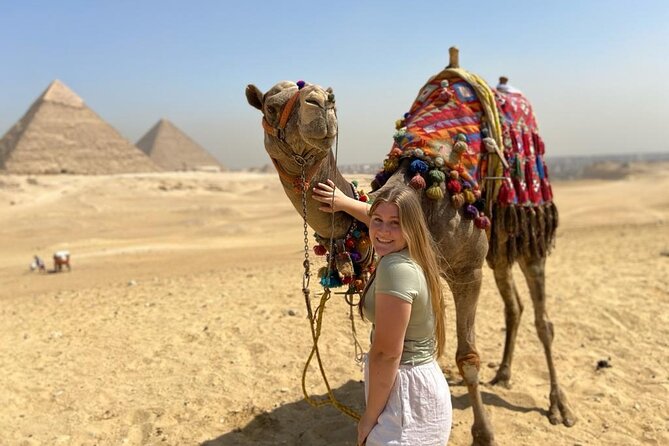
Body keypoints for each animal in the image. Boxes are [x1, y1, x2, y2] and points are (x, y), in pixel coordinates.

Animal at [246, 48, 575, 445]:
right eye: (271, 106)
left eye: (331, 95)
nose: (320, 102)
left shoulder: (467, 270)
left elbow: (467, 357)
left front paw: (484, 434)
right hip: (498, 238)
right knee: (514, 305)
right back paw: (504, 374)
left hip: (528, 224)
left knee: (543, 318)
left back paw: (559, 406)